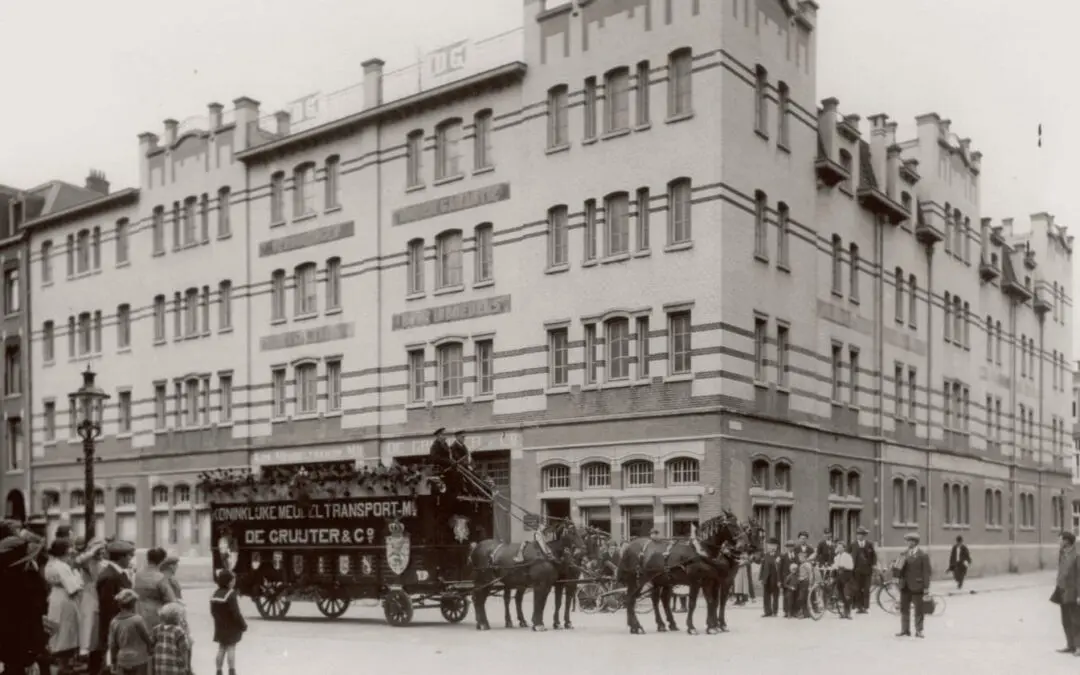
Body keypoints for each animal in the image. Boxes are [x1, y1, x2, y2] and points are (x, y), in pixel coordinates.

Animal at [617, 514, 760, 635]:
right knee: (631, 599)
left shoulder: (711, 581)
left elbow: (712, 601)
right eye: (731, 525)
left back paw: (663, 624)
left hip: (661, 580)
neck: (702, 551)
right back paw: (637, 626)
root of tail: (629, 546)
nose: (746, 545)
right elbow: (694, 603)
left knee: (659, 600)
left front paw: (712, 626)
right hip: (637, 580)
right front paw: (693, 627)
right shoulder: (699, 581)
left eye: (742, 526)